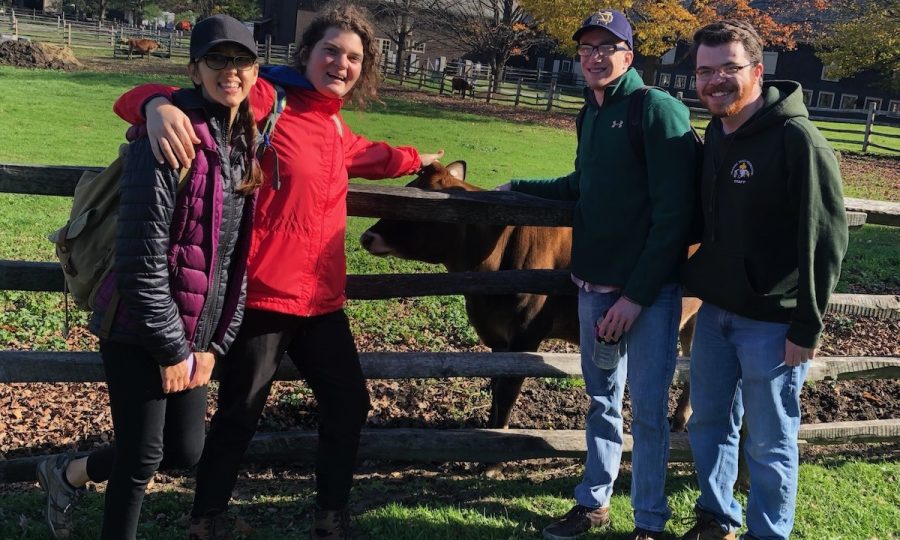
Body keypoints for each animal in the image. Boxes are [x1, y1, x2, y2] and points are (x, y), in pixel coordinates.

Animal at [360, 160, 704, 430]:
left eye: (420, 210)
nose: (366, 236)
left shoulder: (526, 335)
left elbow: (508, 390)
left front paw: (494, 460)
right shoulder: (498, 337)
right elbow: (496, 385)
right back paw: (680, 420)